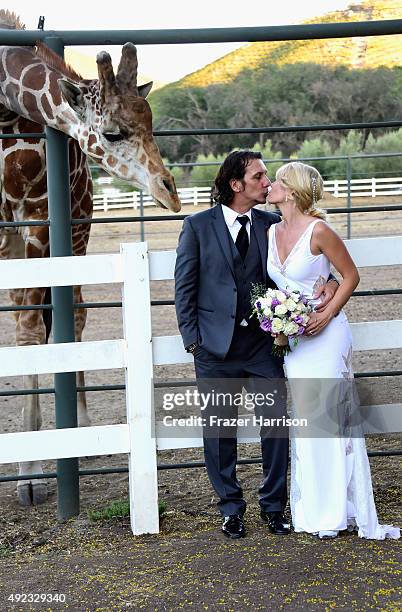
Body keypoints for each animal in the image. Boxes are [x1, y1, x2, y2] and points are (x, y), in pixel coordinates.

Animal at [0, 10, 181, 506]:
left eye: (152, 124)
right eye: (113, 132)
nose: (170, 192)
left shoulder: (39, 218)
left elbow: (30, 332)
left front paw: (29, 474)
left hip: (77, 229)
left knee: (74, 316)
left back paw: (80, 428)